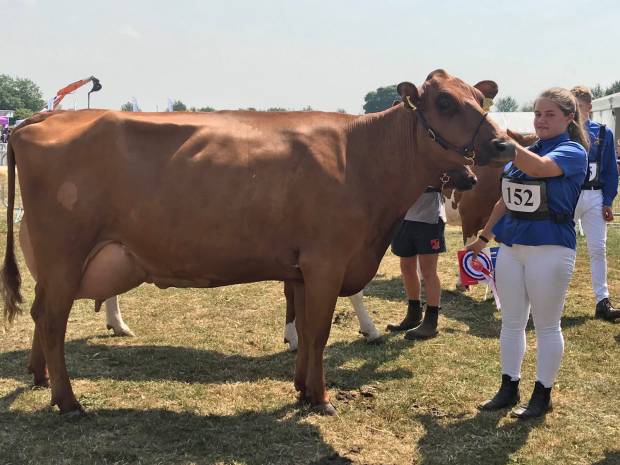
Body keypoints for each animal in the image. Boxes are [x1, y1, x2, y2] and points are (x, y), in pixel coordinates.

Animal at [1, 68, 512, 414]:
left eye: (479, 100)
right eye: (444, 103)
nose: (505, 144)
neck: (363, 157)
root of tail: (39, 119)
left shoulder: (304, 268)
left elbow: (306, 329)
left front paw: (303, 389)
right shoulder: (327, 260)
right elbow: (319, 331)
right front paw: (321, 399)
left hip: (55, 263)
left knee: (42, 315)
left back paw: (41, 380)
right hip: (64, 253)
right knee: (51, 319)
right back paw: (68, 401)